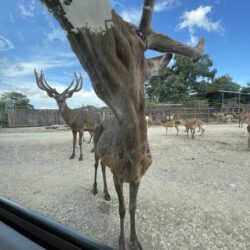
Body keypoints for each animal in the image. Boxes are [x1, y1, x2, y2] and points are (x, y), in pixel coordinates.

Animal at [40, 0, 205, 248]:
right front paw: (120, 241)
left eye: (138, 33)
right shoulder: (119, 174)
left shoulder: (137, 179)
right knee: (96, 166)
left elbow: (134, 207)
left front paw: (135, 240)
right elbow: (122, 208)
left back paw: (105, 192)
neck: (134, 160)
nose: (90, 16)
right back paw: (97, 189)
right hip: (96, 148)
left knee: (103, 168)